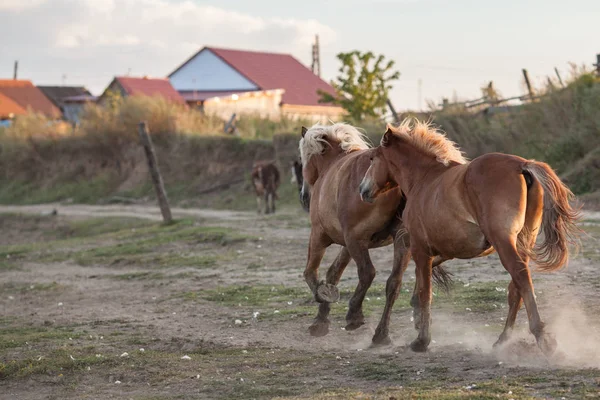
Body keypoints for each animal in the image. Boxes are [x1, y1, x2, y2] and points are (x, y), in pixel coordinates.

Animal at [300, 122, 450, 344]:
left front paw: (323, 296)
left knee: (368, 273)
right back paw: (382, 333)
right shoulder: (350, 244)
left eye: (304, 158)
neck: (332, 164)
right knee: (394, 283)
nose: (303, 197)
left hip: (357, 241)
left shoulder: (322, 235)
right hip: (402, 242)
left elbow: (311, 273)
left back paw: (355, 314)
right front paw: (321, 319)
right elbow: (333, 273)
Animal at [358, 118, 580, 354]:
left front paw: (421, 340)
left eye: (372, 158)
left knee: (520, 276)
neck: (424, 180)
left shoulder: (419, 248)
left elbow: (425, 291)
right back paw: (503, 339)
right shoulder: (446, 249)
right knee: (516, 288)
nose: (362, 190)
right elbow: (425, 278)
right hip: (523, 241)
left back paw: (543, 337)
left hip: (504, 242)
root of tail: (521, 165)